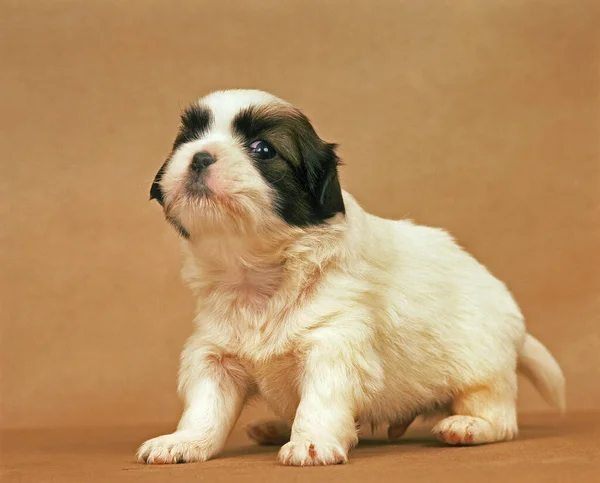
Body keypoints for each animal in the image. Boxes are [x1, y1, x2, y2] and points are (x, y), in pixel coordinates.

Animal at [138, 90, 564, 466]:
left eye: (262, 149)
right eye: (187, 140)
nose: (199, 156)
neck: (255, 273)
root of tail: (517, 325)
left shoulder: (333, 342)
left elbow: (320, 399)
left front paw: (311, 443)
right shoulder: (214, 354)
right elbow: (204, 407)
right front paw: (183, 441)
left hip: (482, 369)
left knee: (499, 415)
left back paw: (468, 426)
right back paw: (275, 427)